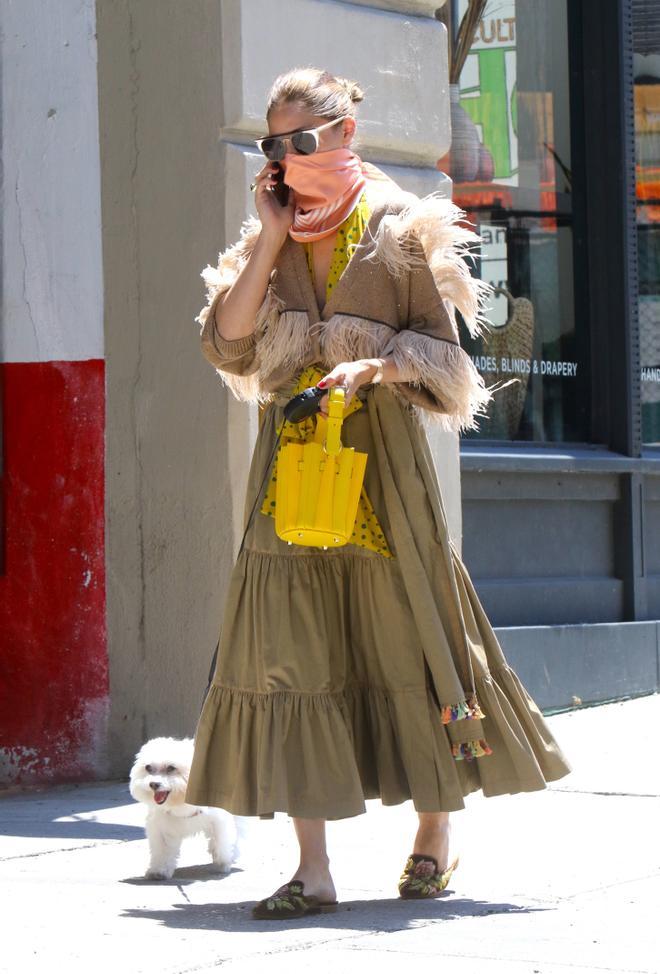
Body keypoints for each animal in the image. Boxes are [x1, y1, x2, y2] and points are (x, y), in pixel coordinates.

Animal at [129, 736, 242, 880]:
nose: (153, 784)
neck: (180, 801)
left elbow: (222, 840)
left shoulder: (219, 819)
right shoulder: (161, 826)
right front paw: (159, 870)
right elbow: (162, 850)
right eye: (148, 768)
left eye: (171, 768)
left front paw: (223, 862)